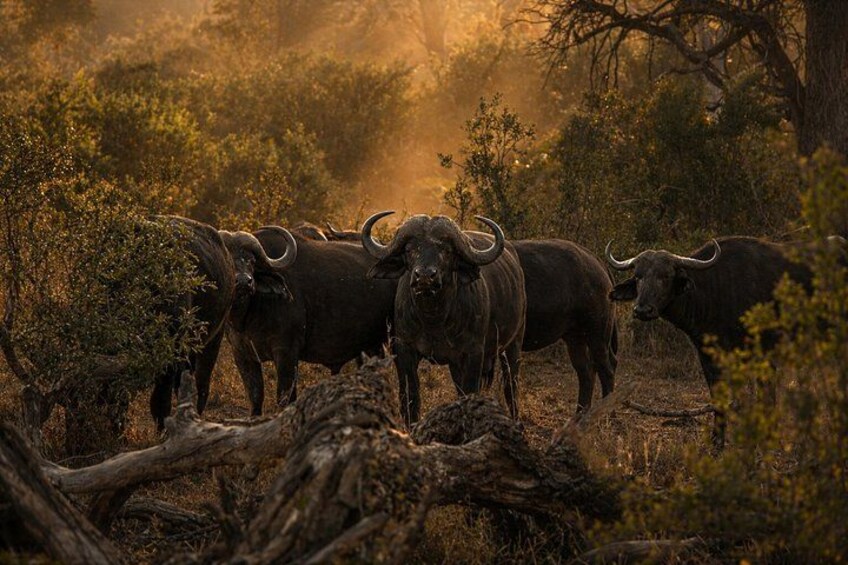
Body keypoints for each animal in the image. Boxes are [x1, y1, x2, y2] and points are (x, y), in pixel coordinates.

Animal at [227, 229, 397, 415]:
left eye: (251, 261)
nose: (244, 281)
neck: (248, 317)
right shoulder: (242, 355)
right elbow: (255, 397)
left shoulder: (287, 352)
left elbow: (284, 397)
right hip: (371, 345)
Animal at [362, 211, 526, 425]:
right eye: (409, 249)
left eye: (446, 250)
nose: (425, 276)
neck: (434, 320)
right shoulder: (404, 349)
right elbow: (410, 397)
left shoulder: (473, 353)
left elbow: (469, 393)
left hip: (514, 344)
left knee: (511, 387)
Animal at [605, 236, 815, 447]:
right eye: (638, 276)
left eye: (665, 276)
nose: (642, 310)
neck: (714, 290)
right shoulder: (706, 355)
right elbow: (718, 396)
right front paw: (717, 441)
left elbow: (766, 396)